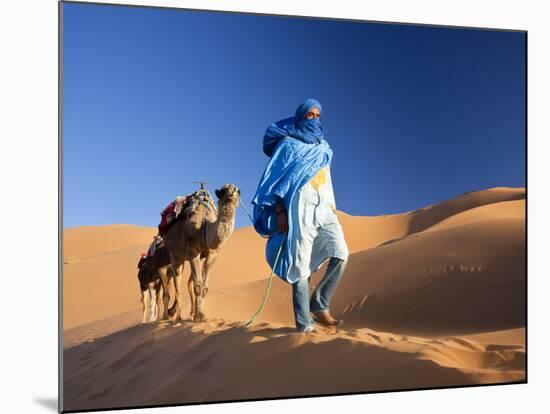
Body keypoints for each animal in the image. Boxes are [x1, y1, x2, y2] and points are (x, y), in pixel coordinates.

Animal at [157, 184, 239, 324]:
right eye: (223, 191)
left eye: (239, 191)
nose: (232, 192)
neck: (204, 228)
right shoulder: (192, 252)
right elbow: (199, 286)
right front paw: (199, 316)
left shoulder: (211, 255)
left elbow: (204, 287)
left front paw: (200, 315)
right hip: (175, 255)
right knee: (177, 283)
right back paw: (175, 318)